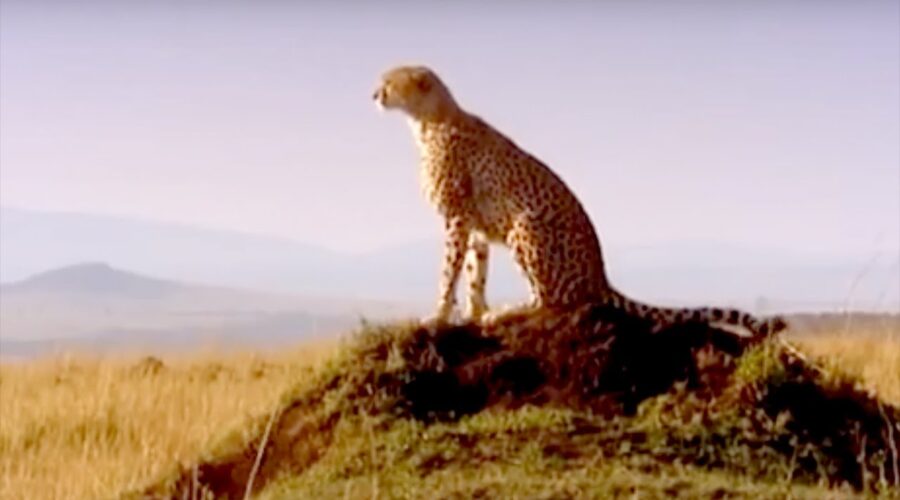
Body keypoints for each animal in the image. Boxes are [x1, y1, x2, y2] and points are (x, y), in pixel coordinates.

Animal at [372, 62, 788, 336]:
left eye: (388, 82)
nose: (374, 94)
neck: (427, 120)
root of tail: (601, 275)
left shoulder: (456, 218)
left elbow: (449, 272)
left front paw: (440, 316)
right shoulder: (473, 224)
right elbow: (476, 271)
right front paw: (473, 313)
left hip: (526, 224)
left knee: (550, 302)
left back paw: (508, 313)